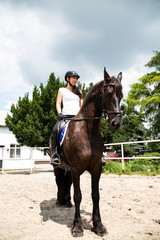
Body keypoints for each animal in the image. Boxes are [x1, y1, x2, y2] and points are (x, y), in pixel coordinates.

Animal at [52, 67, 122, 236]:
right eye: (108, 93)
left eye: (121, 95)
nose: (116, 123)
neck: (87, 131)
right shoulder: (76, 169)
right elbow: (78, 196)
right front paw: (77, 227)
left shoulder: (96, 169)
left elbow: (95, 195)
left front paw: (98, 225)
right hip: (58, 168)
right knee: (58, 182)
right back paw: (58, 201)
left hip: (68, 169)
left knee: (67, 183)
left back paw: (66, 202)